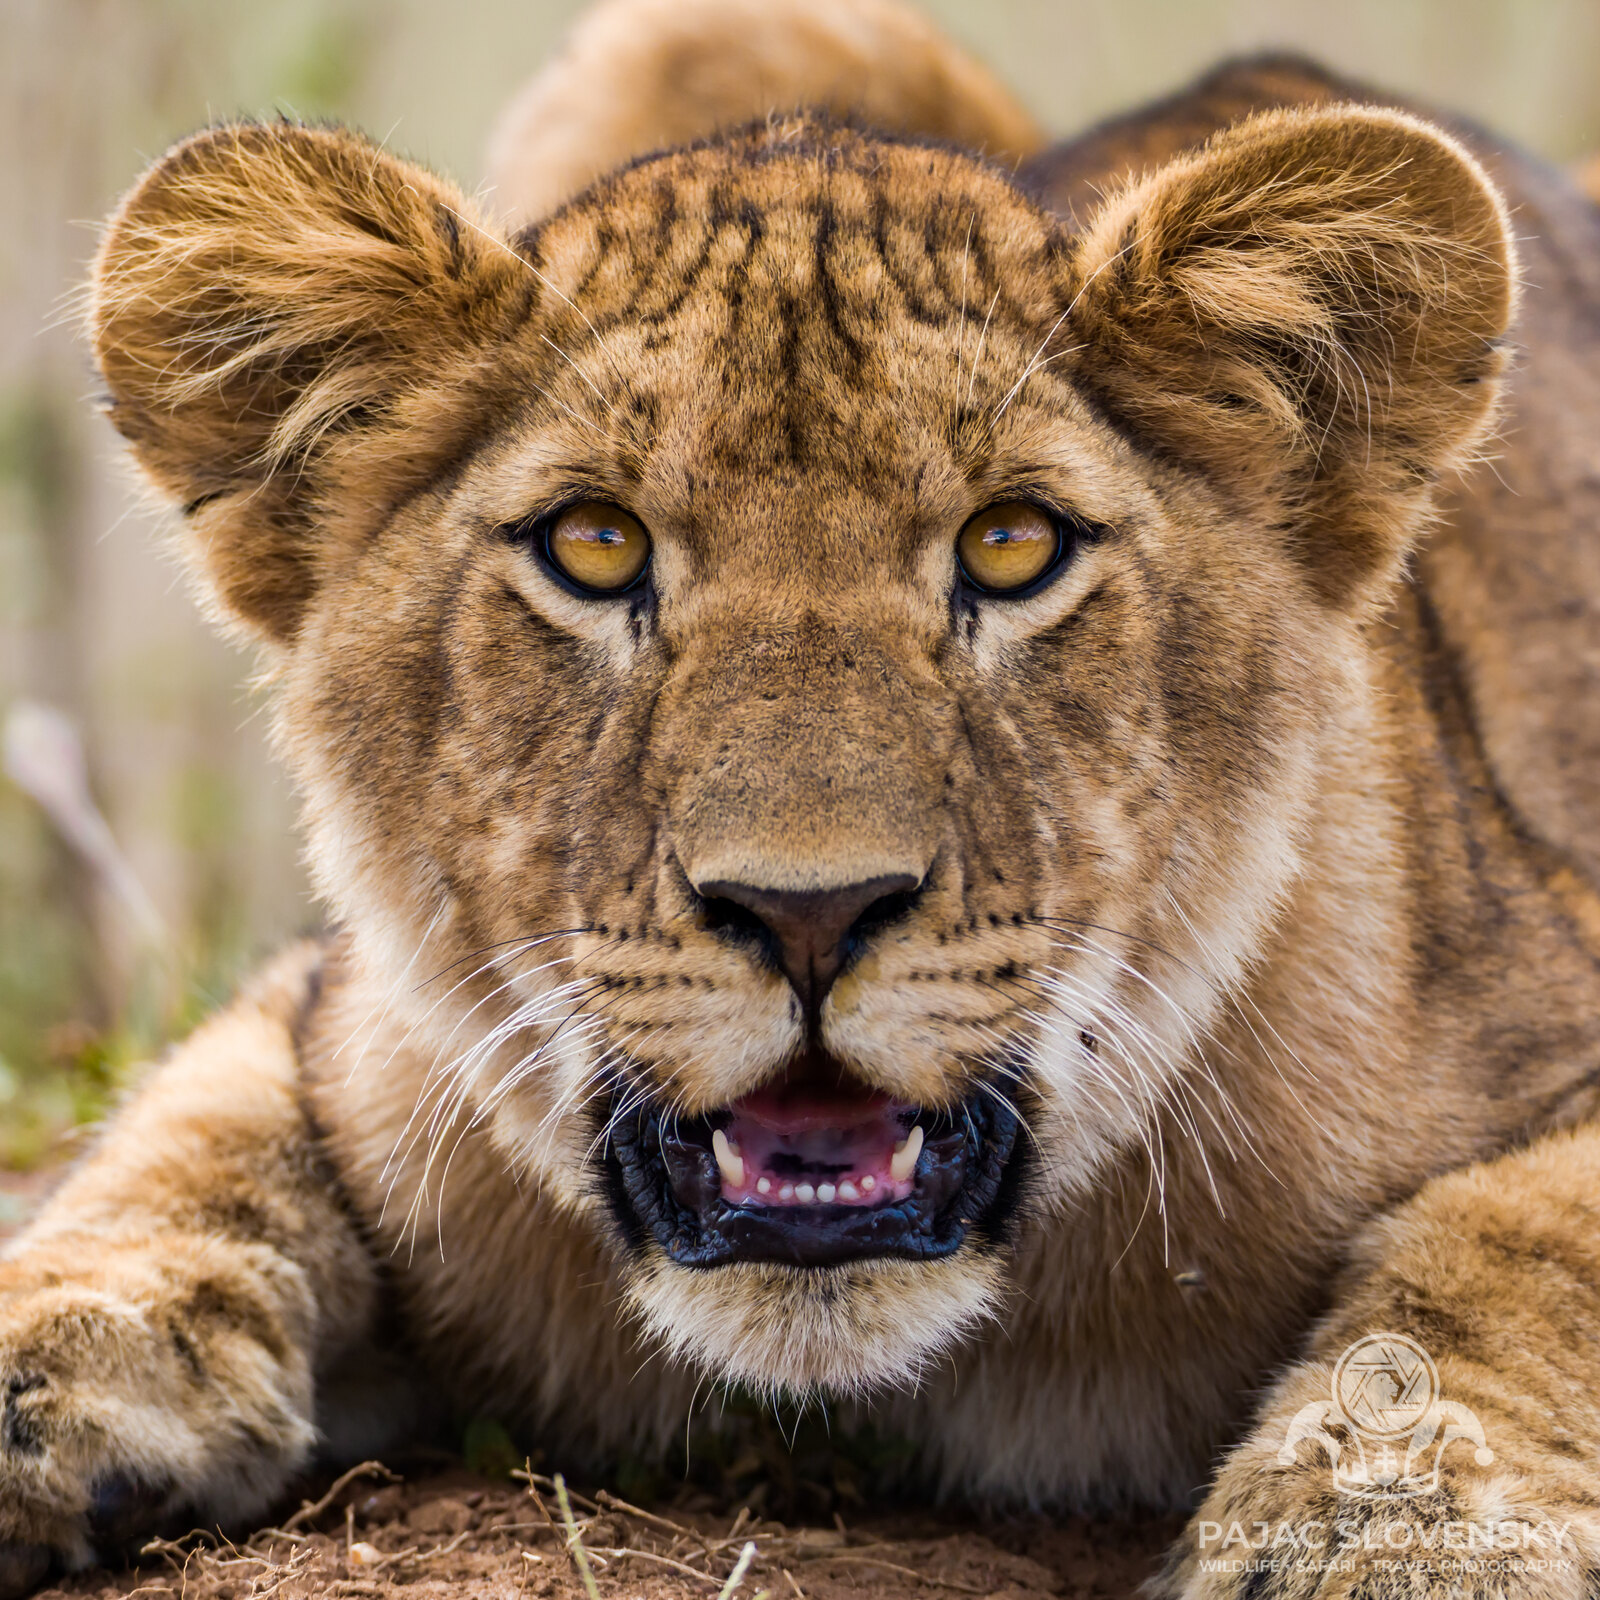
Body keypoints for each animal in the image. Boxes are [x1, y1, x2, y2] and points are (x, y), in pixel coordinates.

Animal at [2, 1, 1598, 1594]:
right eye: (594, 545)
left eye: (1013, 545)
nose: (810, 914)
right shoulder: (343, 1020)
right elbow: (188, 1137)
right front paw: (44, 1362)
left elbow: (1517, 1237)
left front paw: (1388, 1531)